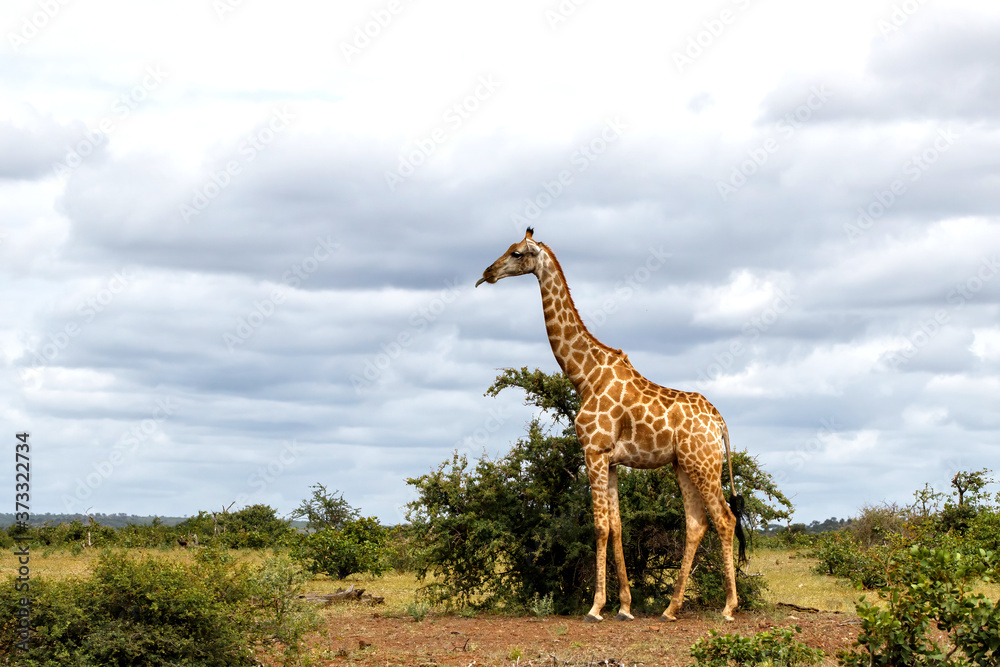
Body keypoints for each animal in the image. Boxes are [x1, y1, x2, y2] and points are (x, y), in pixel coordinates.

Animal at [476, 228, 746, 622]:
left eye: (516, 253)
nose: (487, 273)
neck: (585, 376)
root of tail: (720, 422)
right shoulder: (613, 460)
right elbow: (618, 527)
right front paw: (625, 606)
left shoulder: (593, 450)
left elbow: (600, 526)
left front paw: (596, 606)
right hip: (684, 465)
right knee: (697, 523)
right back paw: (670, 608)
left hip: (704, 464)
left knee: (725, 519)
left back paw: (728, 607)